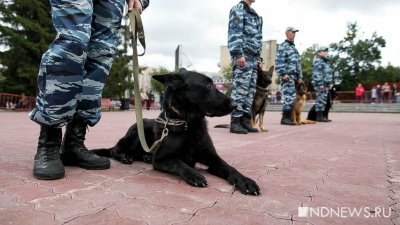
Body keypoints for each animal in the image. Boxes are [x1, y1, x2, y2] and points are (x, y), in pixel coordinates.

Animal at [94, 68, 262, 195]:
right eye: (209, 86)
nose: (235, 105)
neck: (190, 126)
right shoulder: (160, 160)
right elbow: (178, 162)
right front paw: (194, 174)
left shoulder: (212, 158)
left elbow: (229, 167)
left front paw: (245, 181)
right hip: (137, 129)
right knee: (114, 149)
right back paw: (124, 156)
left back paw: (145, 157)